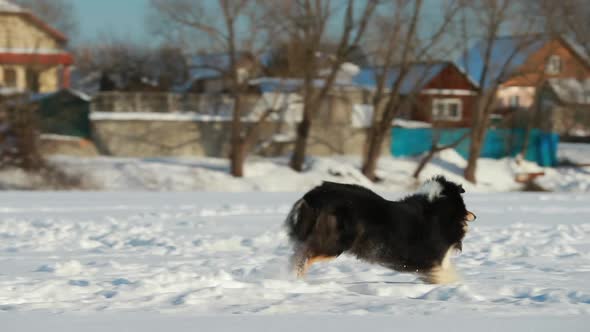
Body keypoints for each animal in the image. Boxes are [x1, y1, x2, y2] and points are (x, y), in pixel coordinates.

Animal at [286, 175, 476, 284]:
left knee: (299, 254)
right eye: (465, 205)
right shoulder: (433, 261)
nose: (474, 216)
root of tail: (314, 194)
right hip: (336, 243)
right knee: (305, 257)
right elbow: (447, 276)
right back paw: (297, 280)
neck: (439, 208)